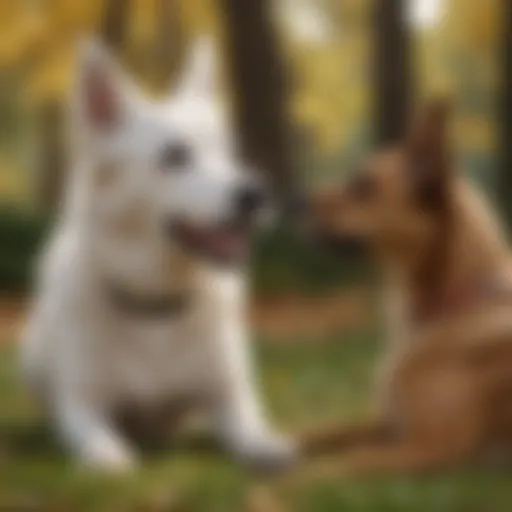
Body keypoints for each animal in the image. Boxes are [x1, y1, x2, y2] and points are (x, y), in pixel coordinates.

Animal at [21, 40, 296, 472]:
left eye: (229, 153)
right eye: (175, 155)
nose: (256, 194)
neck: (156, 307)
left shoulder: (230, 396)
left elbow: (252, 429)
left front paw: (267, 447)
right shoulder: (83, 404)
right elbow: (97, 440)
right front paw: (108, 457)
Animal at [298, 98, 512, 478]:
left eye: (362, 186)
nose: (294, 200)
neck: (452, 304)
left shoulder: (430, 448)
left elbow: (333, 465)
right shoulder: (388, 423)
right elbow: (315, 431)